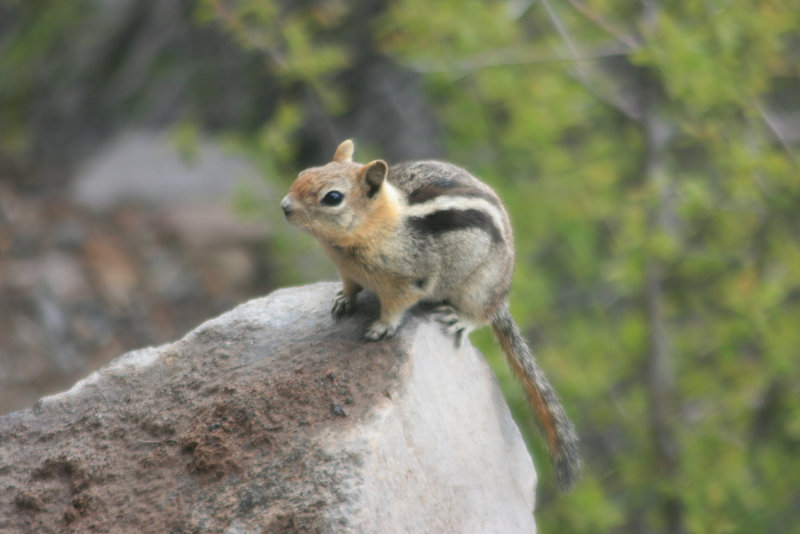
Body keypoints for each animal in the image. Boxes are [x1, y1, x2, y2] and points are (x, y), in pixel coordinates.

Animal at [282, 140, 580, 492]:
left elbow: (396, 307)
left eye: (332, 198)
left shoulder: (409, 281)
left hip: (478, 287)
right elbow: (350, 287)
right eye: (304, 173)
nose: (284, 207)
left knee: (482, 314)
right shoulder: (347, 271)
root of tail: (502, 293)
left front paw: (381, 327)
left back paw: (461, 319)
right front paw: (343, 300)